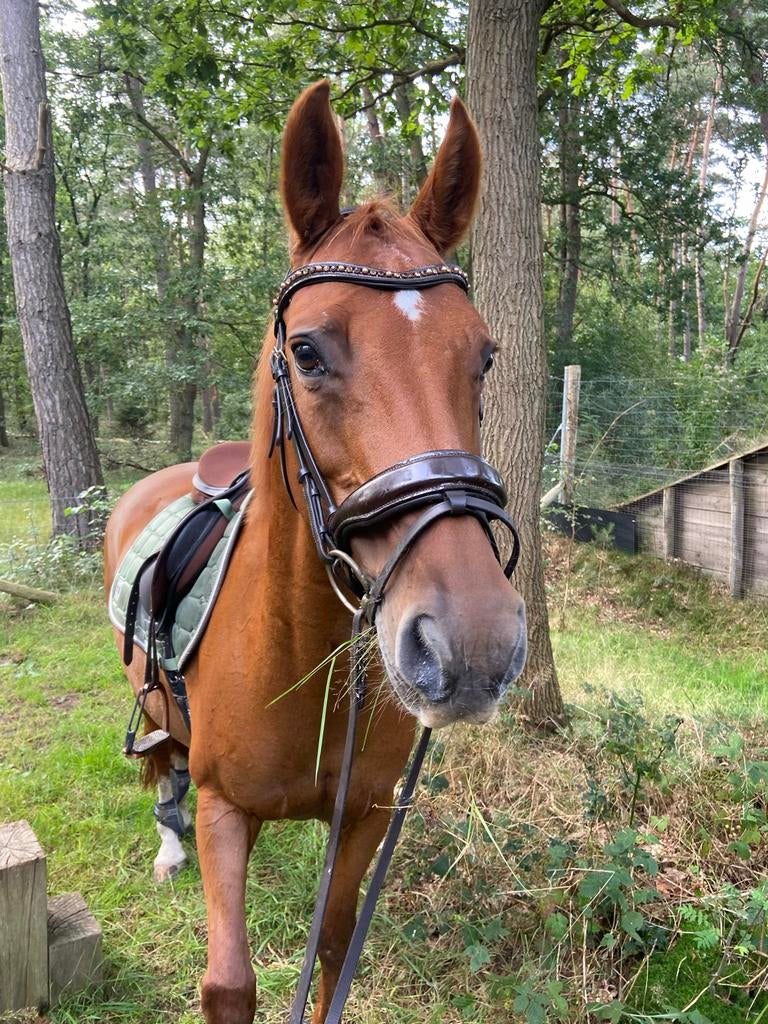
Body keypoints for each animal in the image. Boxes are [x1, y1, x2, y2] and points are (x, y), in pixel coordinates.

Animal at [104, 80, 527, 1024]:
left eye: (483, 357)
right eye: (306, 351)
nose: (475, 644)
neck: (296, 657)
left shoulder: (364, 817)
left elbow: (333, 950)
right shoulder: (227, 810)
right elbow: (230, 982)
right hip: (156, 710)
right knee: (164, 763)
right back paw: (165, 845)